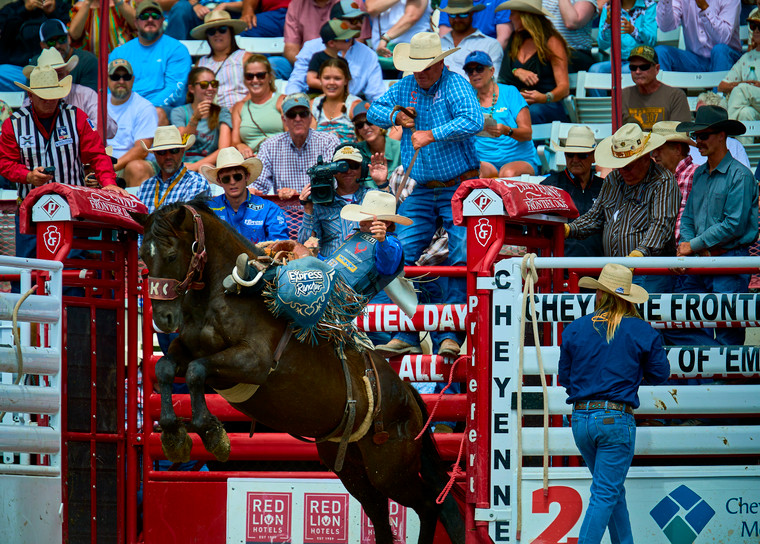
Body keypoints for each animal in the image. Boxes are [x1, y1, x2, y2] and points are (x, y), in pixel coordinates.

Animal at [132, 201, 464, 544]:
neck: (227, 295)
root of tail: (407, 394)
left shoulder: (253, 362)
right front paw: (173, 434)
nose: (163, 317)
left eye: (172, 255)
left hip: (391, 469)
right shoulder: (186, 350)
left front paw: (212, 434)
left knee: (429, 505)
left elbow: (197, 372)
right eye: (143, 255)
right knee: (387, 519)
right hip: (355, 470)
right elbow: (166, 368)